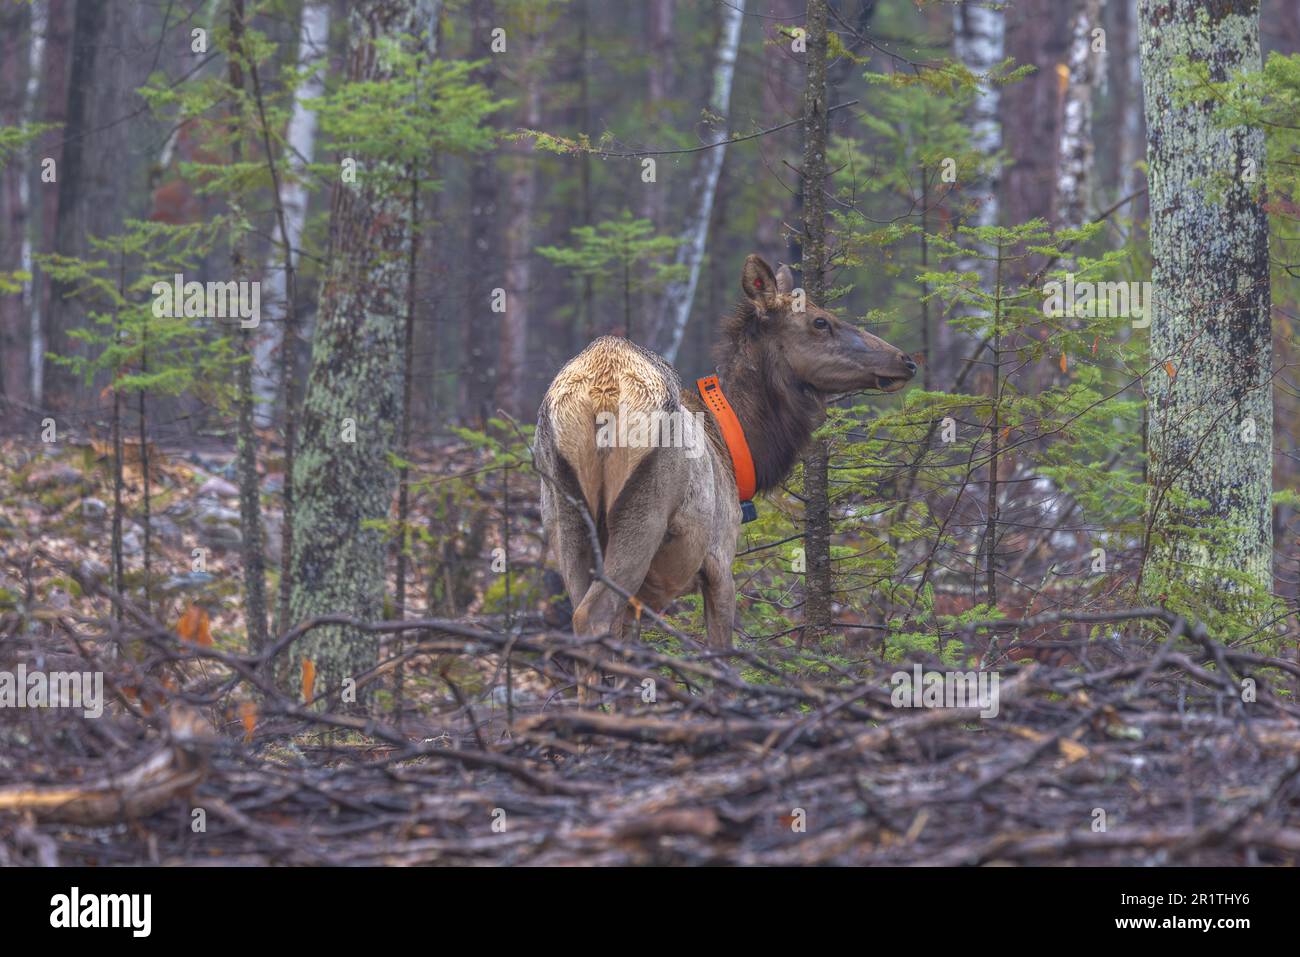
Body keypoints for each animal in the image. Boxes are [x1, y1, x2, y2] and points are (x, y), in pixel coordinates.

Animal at [535, 252, 915, 657]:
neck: (737, 448)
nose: (905, 360)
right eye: (820, 321)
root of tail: (601, 391)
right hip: (642, 513)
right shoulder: (720, 559)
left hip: (564, 516)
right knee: (592, 616)